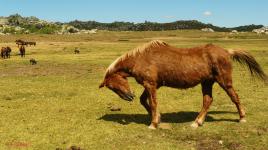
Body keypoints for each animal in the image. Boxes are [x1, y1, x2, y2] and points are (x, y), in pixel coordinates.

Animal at [99, 39, 268, 129]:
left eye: (113, 85)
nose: (128, 97)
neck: (140, 58)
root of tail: (227, 52)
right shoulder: (153, 85)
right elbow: (144, 101)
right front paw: (157, 117)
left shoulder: (150, 84)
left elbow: (152, 103)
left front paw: (153, 123)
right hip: (207, 83)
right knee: (208, 100)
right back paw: (197, 122)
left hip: (224, 82)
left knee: (235, 98)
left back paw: (242, 118)